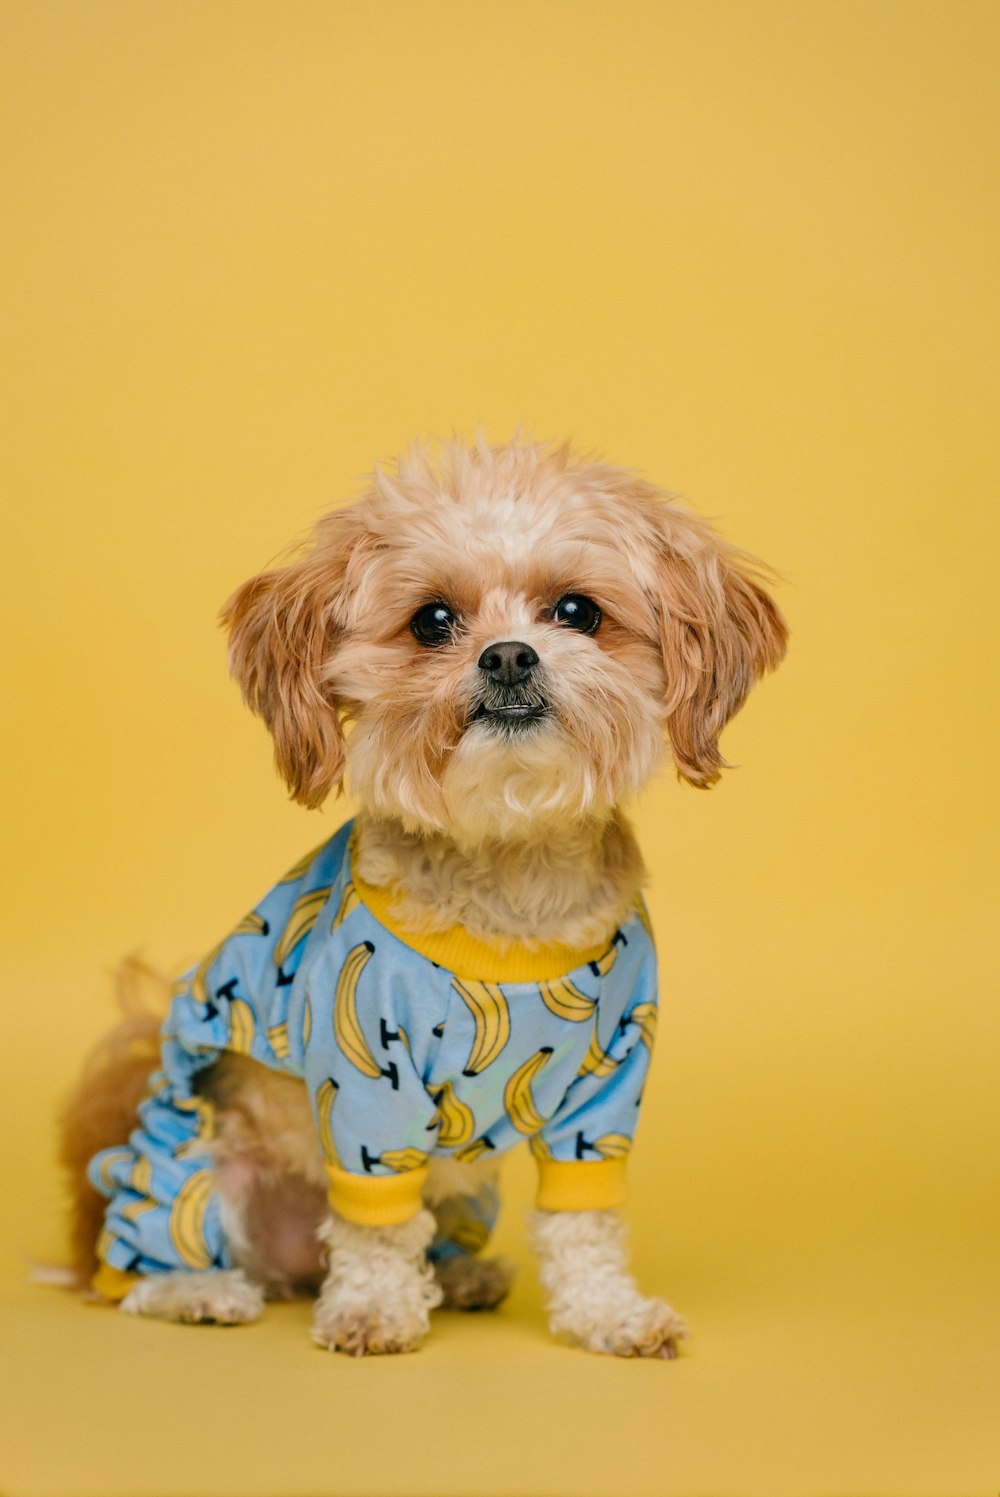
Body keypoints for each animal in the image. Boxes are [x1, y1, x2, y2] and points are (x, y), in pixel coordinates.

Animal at [56, 437, 790, 1359]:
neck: (510, 873)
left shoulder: (608, 1086)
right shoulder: (368, 1087)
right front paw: (374, 1310)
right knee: (141, 1262)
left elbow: (583, 1221)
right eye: (432, 621)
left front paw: (608, 1314)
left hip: (467, 1184)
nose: (508, 654)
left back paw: (464, 1275)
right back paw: (199, 1289)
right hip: (191, 1152)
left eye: (577, 611)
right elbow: (375, 1224)